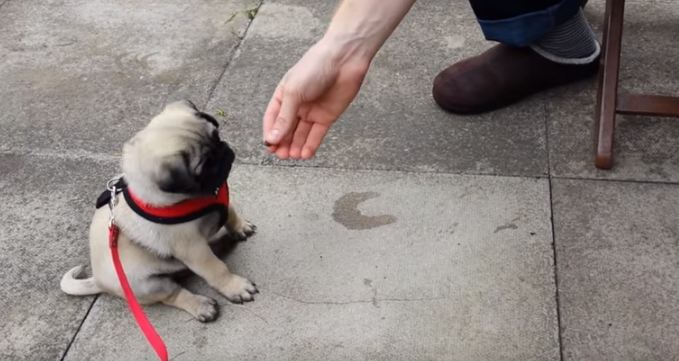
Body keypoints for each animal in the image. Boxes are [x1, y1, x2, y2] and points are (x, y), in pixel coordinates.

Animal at [61, 99, 256, 320]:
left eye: (217, 135)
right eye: (206, 165)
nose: (224, 151)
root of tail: (98, 281)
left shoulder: (221, 197)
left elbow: (230, 213)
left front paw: (240, 227)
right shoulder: (193, 249)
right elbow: (216, 269)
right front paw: (235, 286)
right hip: (148, 284)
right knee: (173, 294)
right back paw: (201, 305)